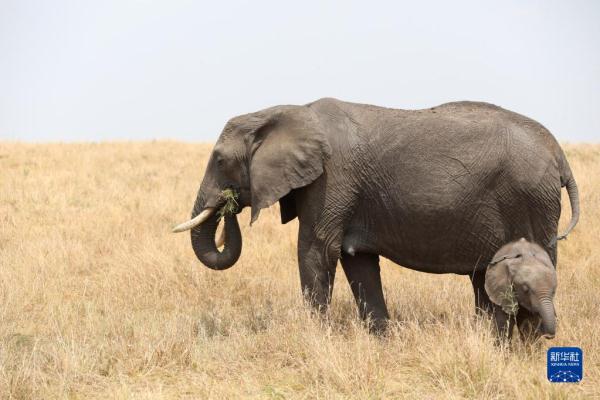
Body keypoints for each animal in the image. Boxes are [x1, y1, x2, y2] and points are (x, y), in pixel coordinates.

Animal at [172, 97, 576, 334]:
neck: (284, 111)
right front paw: (381, 337)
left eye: (220, 160)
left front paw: (314, 336)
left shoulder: (332, 179)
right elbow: (358, 261)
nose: (227, 205)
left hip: (532, 199)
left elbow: (317, 249)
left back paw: (530, 340)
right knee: (483, 277)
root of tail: (558, 153)